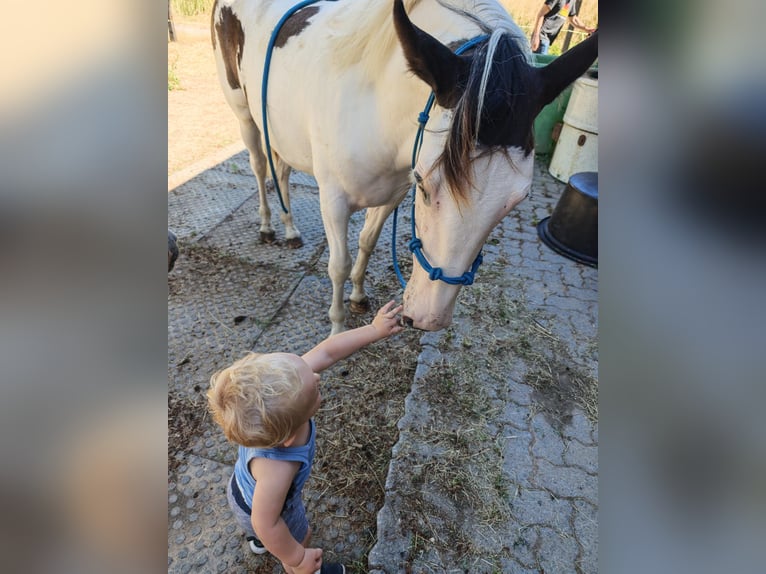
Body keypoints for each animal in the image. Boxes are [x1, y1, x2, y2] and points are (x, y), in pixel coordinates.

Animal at [211, 0, 598, 333]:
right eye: (424, 185)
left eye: (515, 202)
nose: (427, 319)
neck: (374, 106)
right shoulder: (333, 201)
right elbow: (338, 266)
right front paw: (336, 330)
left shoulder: (392, 194)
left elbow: (366, 243)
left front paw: (358, 296)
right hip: (245, 116)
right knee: (259, 167)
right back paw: (267, 227)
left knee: (282, 171)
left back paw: (290, 230)